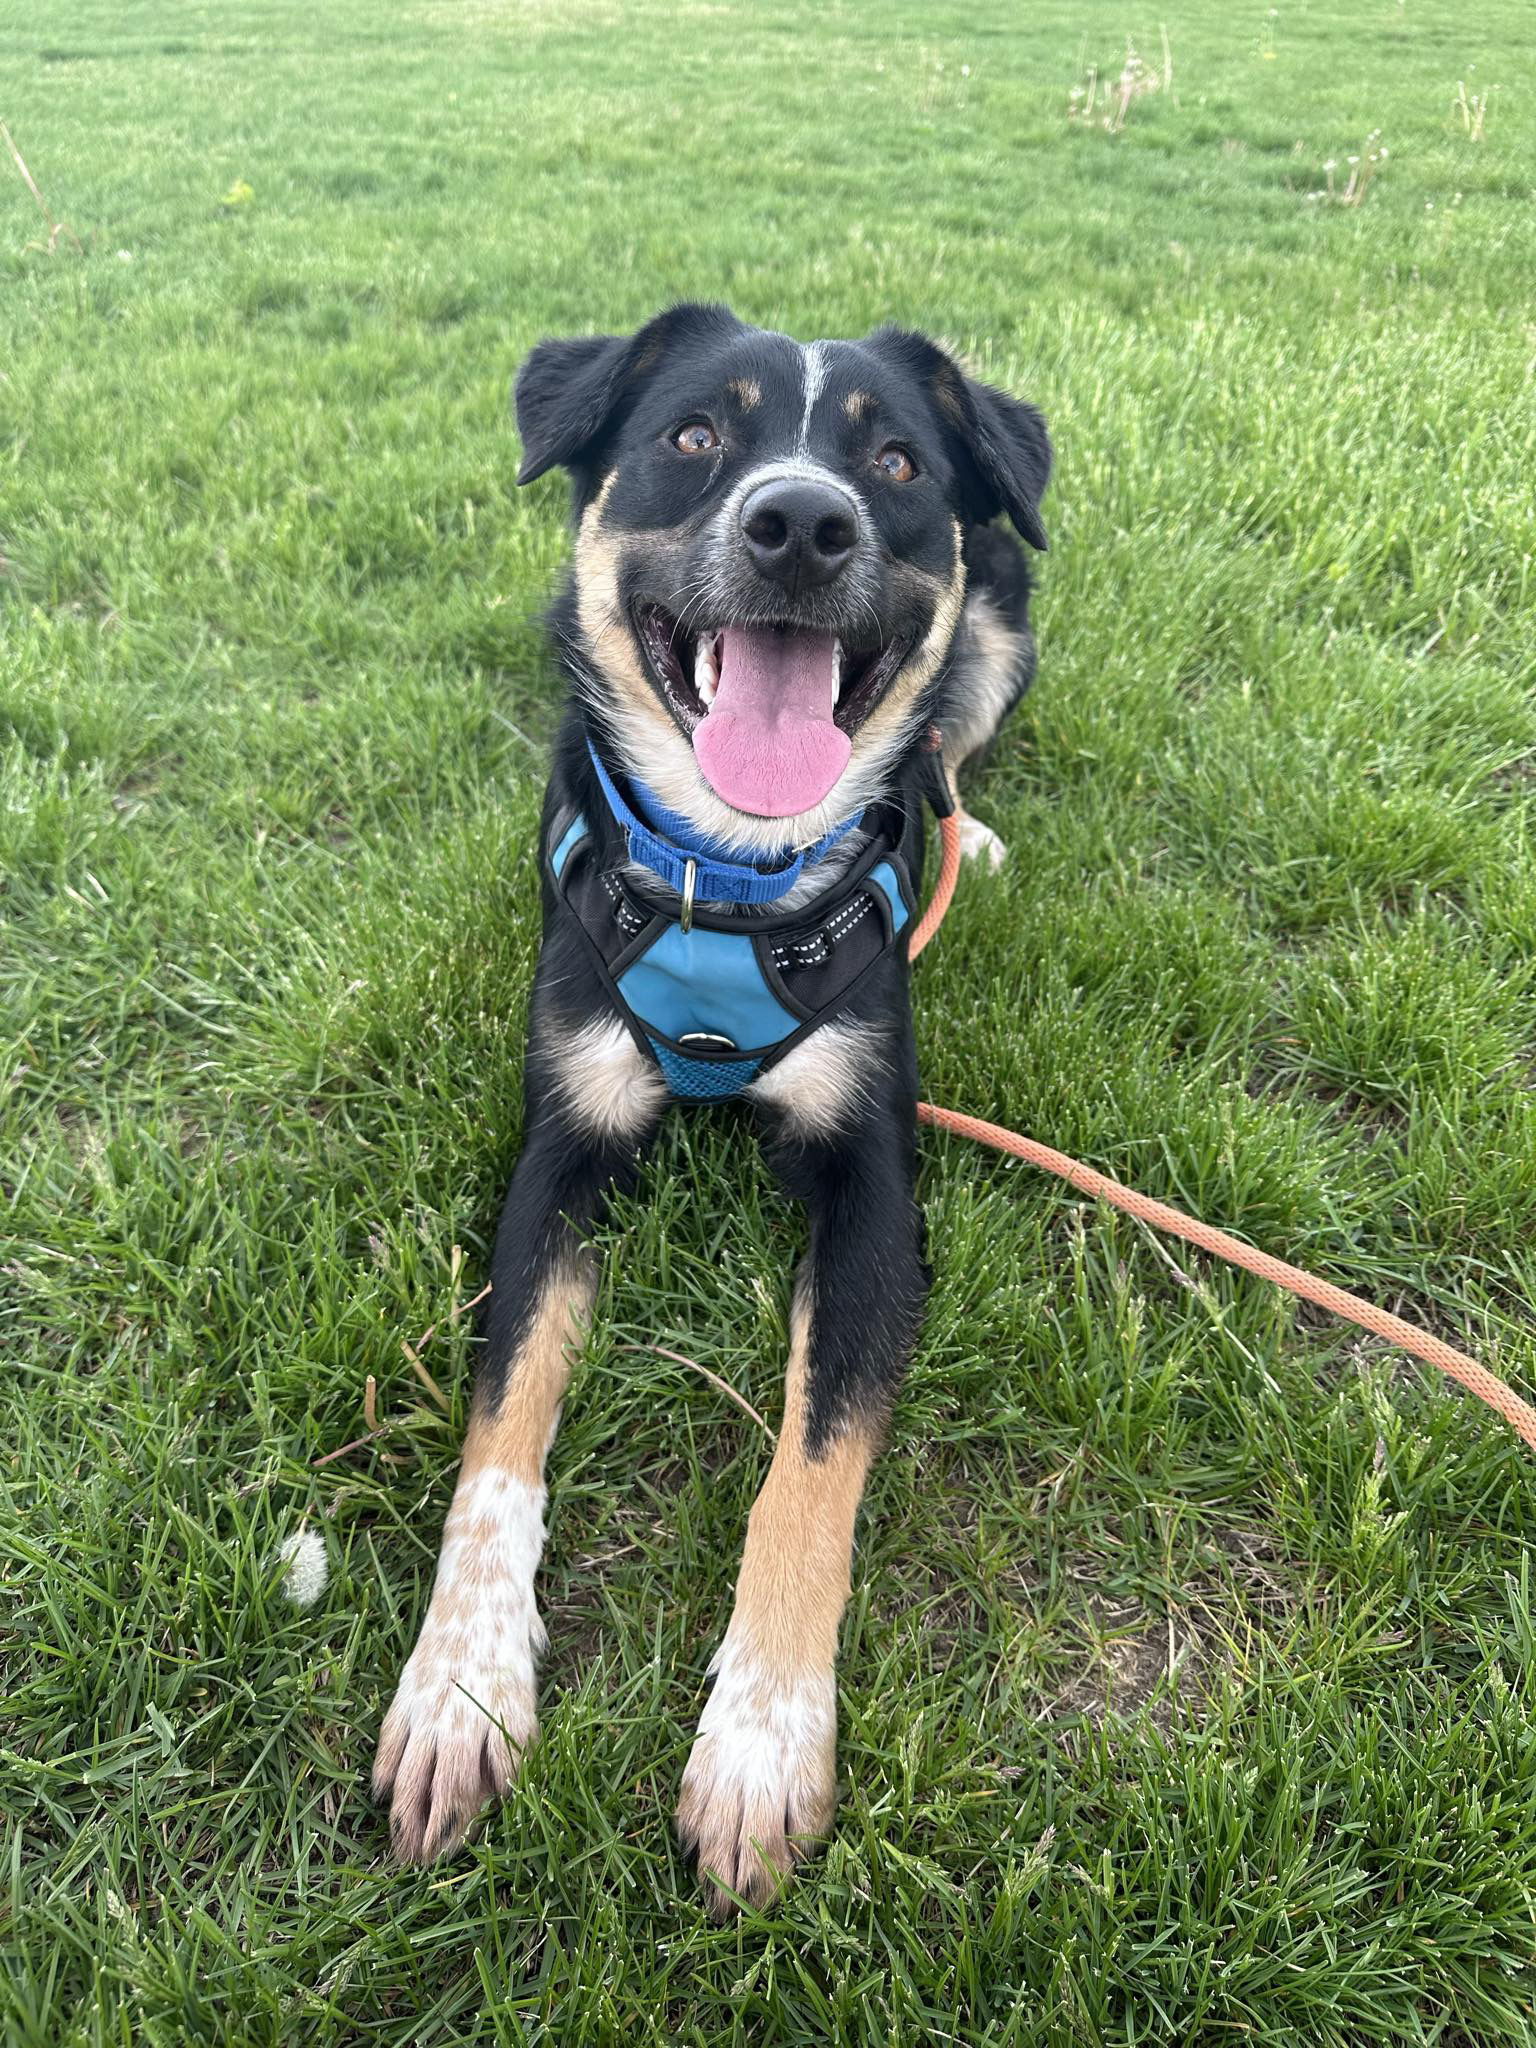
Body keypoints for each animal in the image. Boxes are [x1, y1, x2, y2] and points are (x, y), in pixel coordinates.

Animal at [374, 303, 1056, 1916]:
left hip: (1004, 617)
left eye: (894, 459)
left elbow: (809, 1474)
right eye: (693, 435)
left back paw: (970, 831)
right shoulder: (555, 1151)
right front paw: (459, 1690)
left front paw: (759, 1741)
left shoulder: (874, 1189)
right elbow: (497, 1444)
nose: (803, 521)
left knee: (946, 739)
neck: (732, 873)